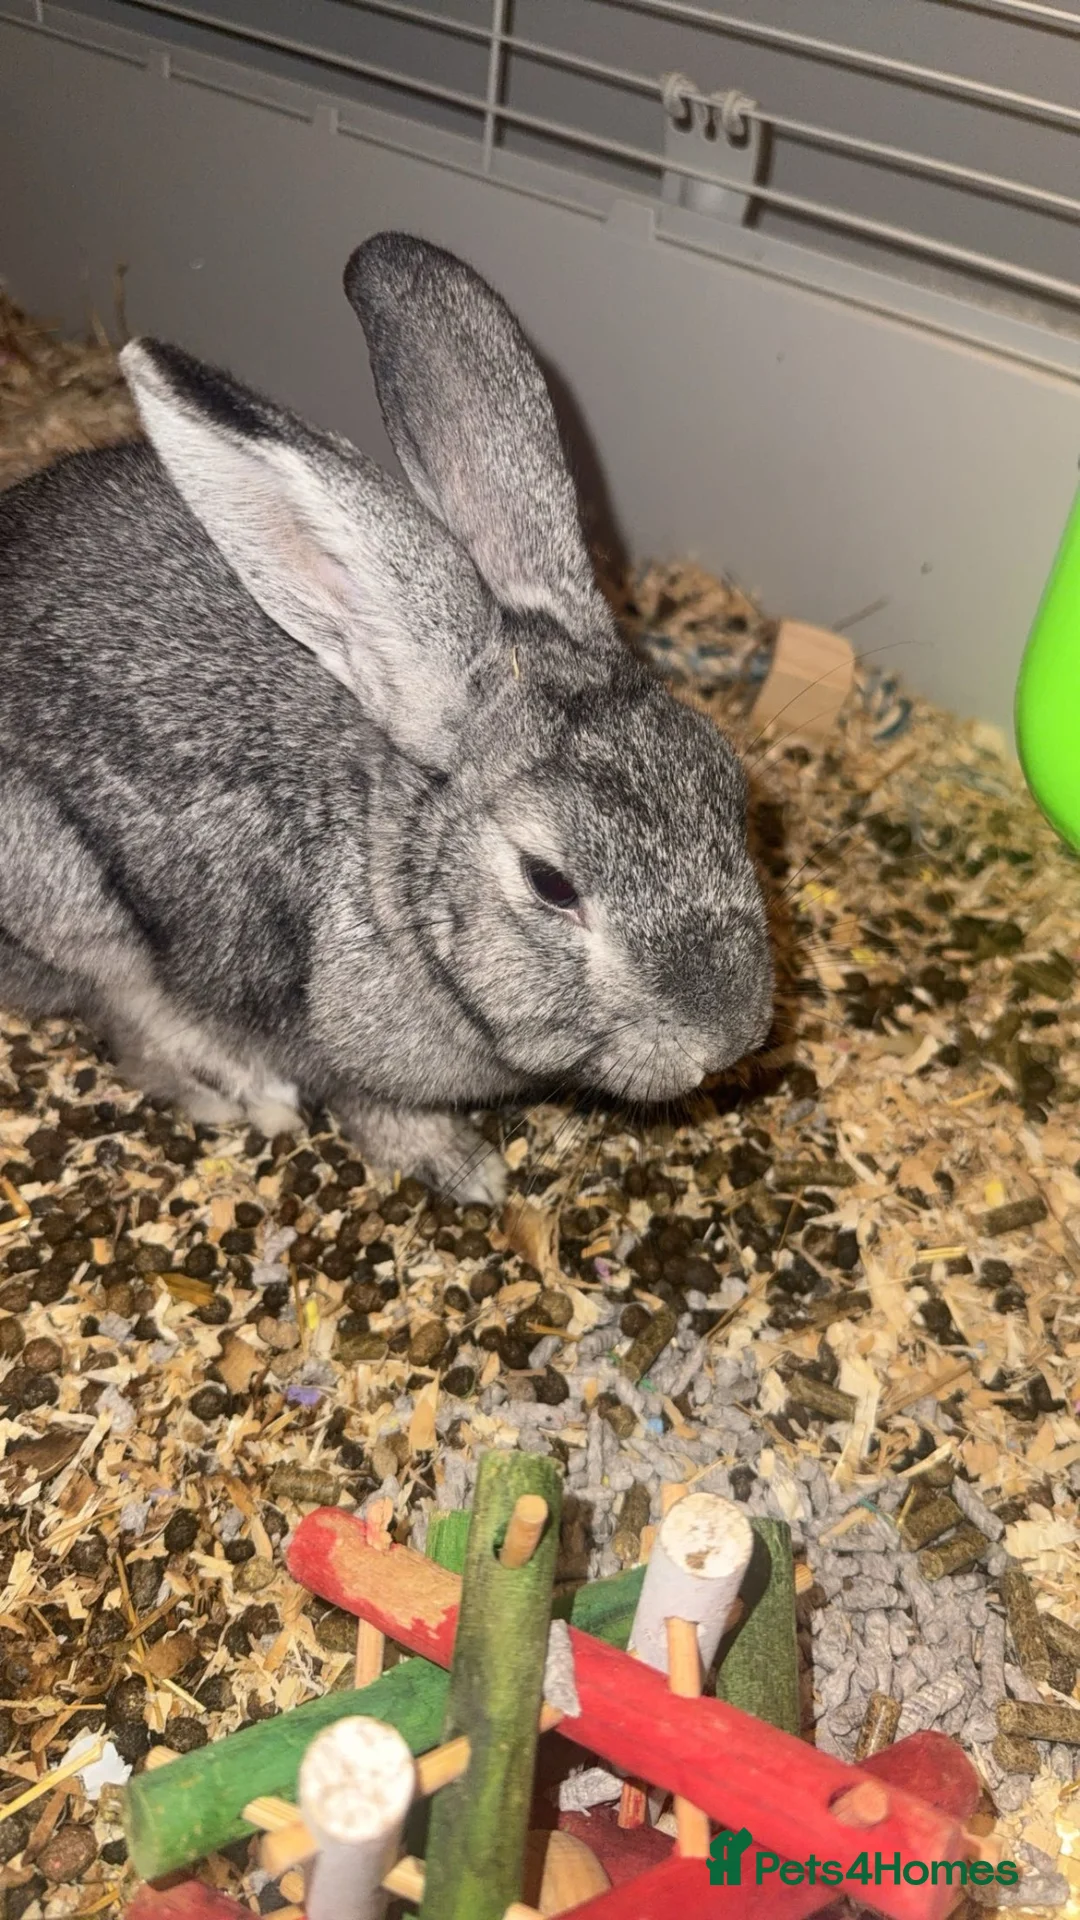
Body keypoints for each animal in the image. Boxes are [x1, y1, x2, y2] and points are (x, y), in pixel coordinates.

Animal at [0, 232, 772, 1205]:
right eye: (550, 883)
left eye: (729, 786)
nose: (728, 1038)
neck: (397, 871)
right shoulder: (331, 1047)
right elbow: (368, 1108)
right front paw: (469, 1171)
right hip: (65, 891)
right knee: (127, 1011)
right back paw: (242, 1095)